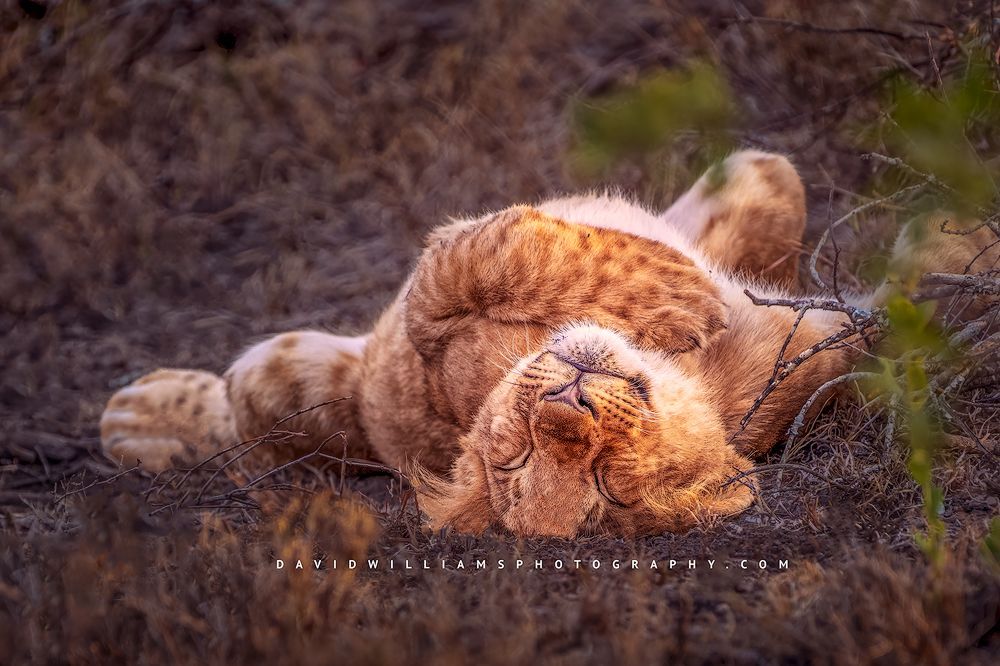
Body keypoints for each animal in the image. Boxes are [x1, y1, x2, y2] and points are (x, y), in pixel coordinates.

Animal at [99, 150, 996, 537]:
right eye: (520, 458)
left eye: (602, 475)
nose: (570, 408)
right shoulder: (432, 330)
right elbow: (502, 250)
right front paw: (681, 292)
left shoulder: (818, 331)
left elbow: (771, 185)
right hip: (291, 382)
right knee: (243, 411)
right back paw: (133, 418)